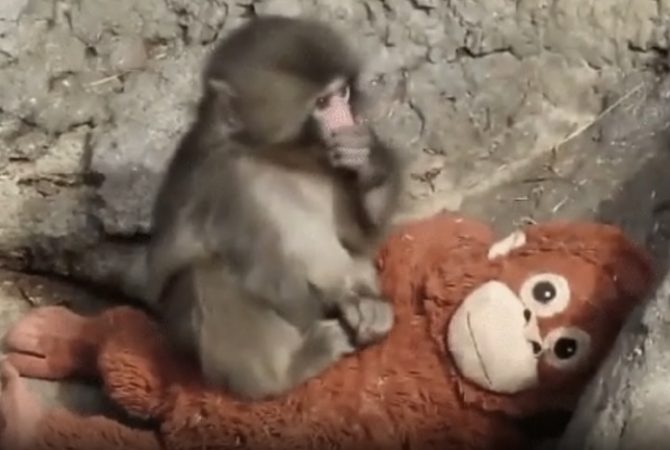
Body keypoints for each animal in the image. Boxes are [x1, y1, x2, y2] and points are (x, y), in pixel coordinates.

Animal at [144, 15, 404, 400]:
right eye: (322, 103)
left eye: (342, 93)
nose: (347, 119)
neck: (277, 158)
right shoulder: (227, 182)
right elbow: (270, 276)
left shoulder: (328, 163)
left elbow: (359, 238)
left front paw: (368, 159)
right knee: (209, 275)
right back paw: (288, 371)